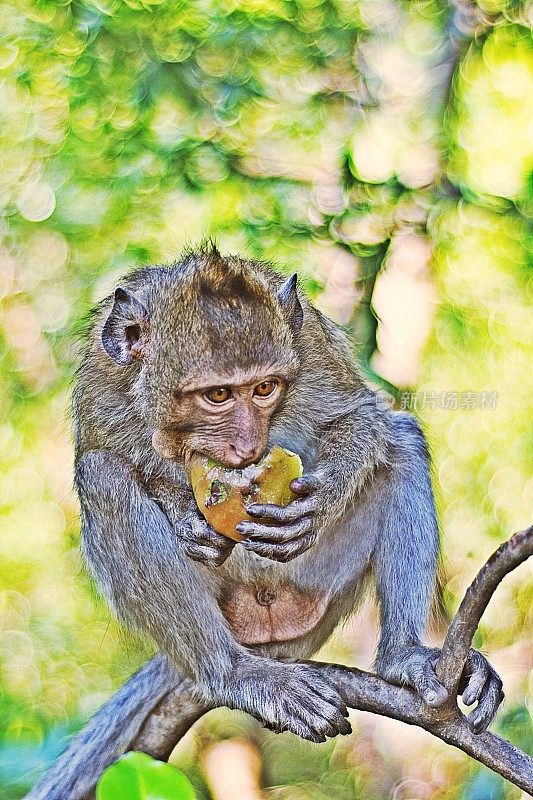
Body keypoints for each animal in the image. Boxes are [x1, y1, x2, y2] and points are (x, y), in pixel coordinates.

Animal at [27, 244, 502, 800]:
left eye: (265, 388)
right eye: (216, 396)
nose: (250, 447)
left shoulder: (313, 347)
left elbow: (362, 414)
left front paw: (326, 492)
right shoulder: (104, 385)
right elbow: (103, 453)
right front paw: (183, 513)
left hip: (317, 586)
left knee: (401, 441)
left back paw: (404, 659)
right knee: (103, 477)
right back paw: (233, 672)